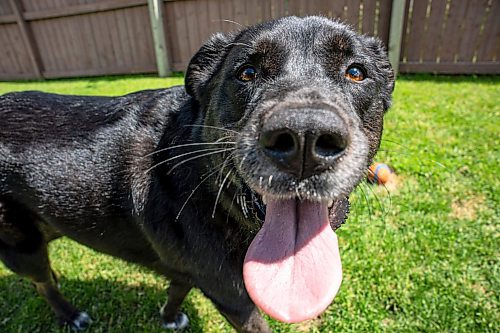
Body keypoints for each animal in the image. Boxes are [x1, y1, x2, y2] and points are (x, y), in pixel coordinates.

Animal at [0, 16, 392, 330]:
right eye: (246, 72)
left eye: (356, 72)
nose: (304, 138)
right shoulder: (236, 299)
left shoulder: (192, 269)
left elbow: (178, 286)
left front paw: (170, 316)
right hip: (22, 249)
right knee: (41, 282)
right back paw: (70, 315)